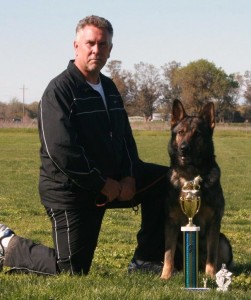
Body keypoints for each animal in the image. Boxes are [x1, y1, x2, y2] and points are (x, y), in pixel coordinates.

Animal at [162, 99, 232, 280]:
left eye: (197, 134)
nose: (183, 148)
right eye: (180, 132)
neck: (190, 175)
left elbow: (212, 255)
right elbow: (168, 254)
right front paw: (165, 276)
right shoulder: (171, 223)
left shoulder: (214, 222)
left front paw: (210, 276)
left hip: (224, 241)